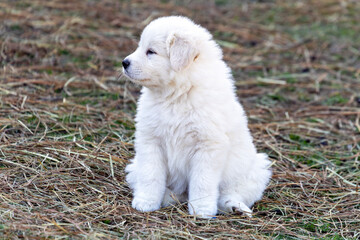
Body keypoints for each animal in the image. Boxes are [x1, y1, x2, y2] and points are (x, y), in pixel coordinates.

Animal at [122, 15, 272, 218]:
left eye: (151, 52)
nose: (124, 62)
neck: (176, 95)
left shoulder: (208, 145)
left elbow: (203, 182)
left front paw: (201, 211)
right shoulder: (150, 140)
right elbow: (150, 175)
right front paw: (146, 202)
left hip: (255, 169)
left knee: (232, 193)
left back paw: (235, 206)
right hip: (133, 167)